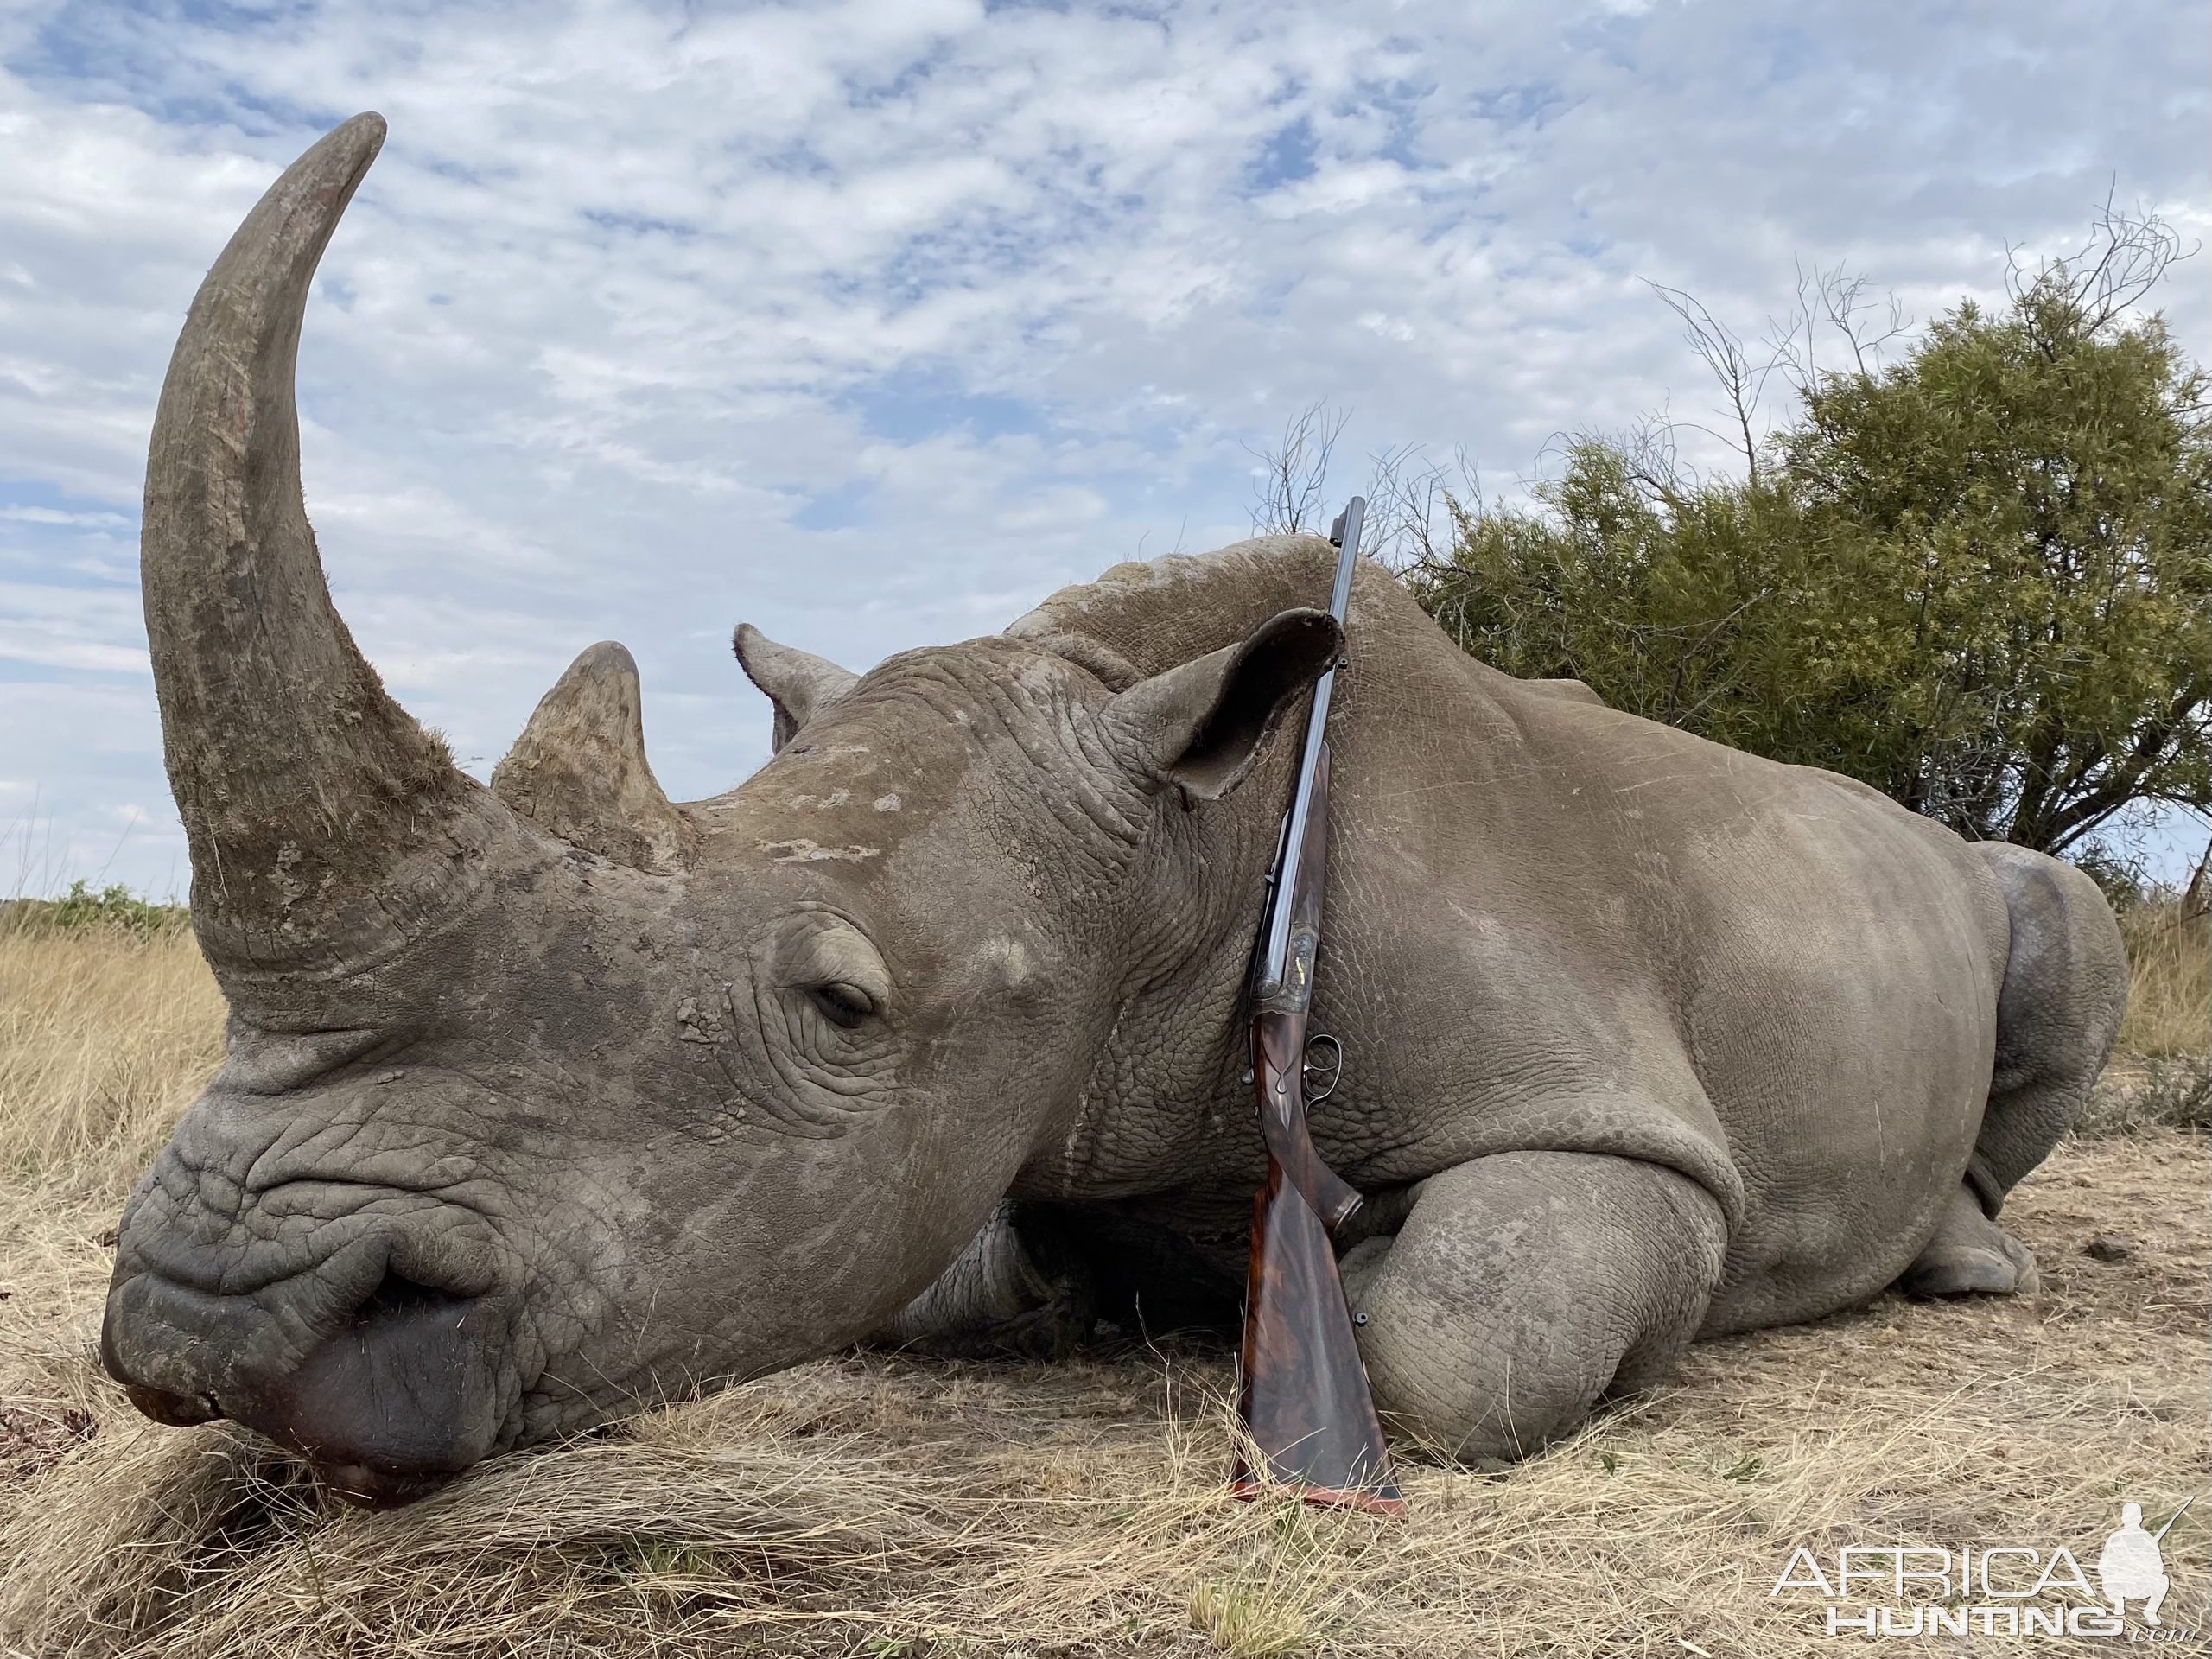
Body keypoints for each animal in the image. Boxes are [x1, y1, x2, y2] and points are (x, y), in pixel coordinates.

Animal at [99, 117, 2123, 1513]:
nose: (215, 1327)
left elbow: (1459, 1335)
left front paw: (1341, 1291)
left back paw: (1968, 1265)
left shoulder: (1614, 1115)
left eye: (840, 1008)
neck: (1181, 839)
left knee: (2064, 927)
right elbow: (946, 1270)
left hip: (1989, 891)